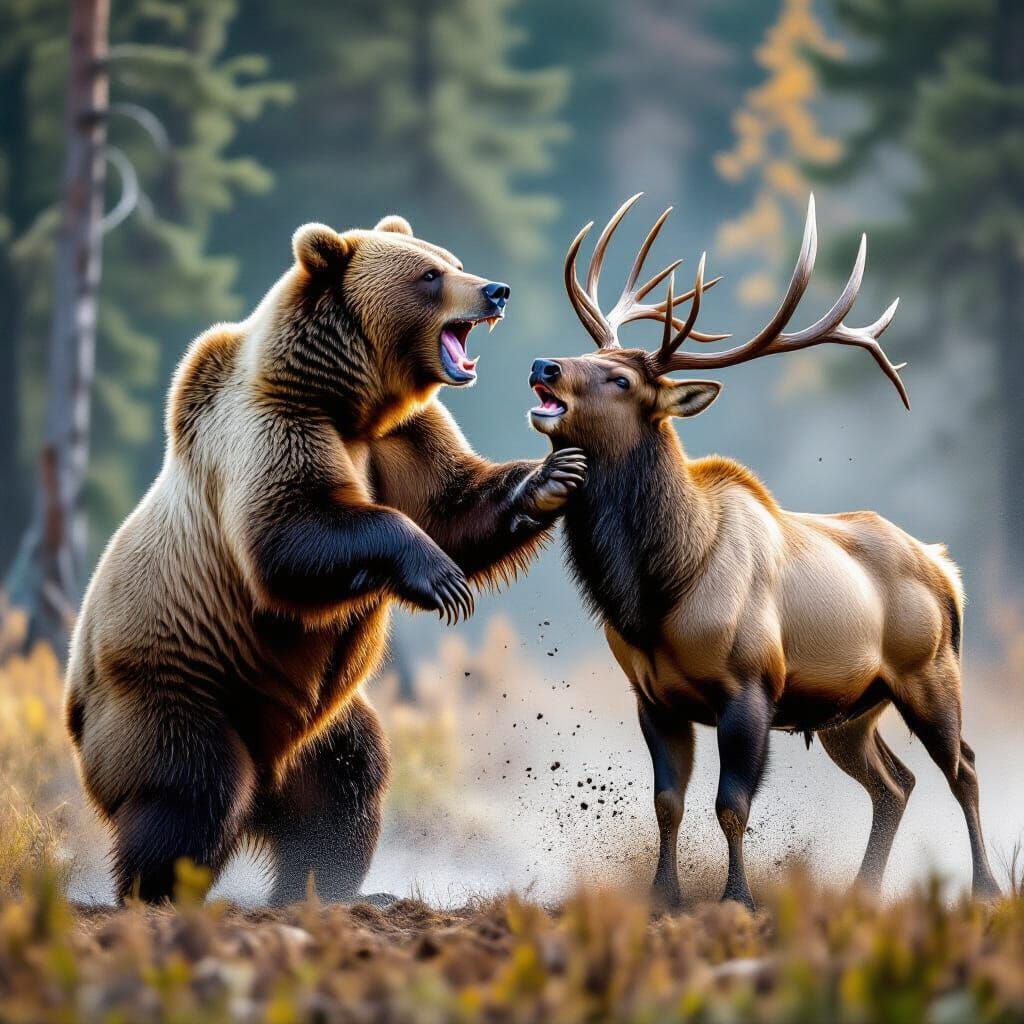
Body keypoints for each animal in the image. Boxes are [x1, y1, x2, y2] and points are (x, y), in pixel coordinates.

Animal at [64, 214, 587, 905]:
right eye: (430, 275)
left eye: (453, 260)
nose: (495, 291)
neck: (347, 404)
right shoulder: (274, 427)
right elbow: (290, 531)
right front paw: (440, 578)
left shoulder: (400, 439)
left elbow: (451, 505)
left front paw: (555, 474)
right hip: (174, 690)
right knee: (192, 792)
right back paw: (157, 892)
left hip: (314, 723)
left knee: (347, 783)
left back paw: (322, 885)